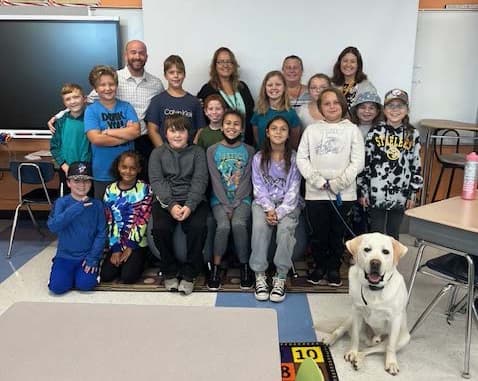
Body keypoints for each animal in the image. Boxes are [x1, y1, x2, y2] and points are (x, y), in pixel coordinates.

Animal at [324, 232, 410, 374]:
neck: (374, 290)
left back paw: (358, 360)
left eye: (385, 252)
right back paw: (330, 340)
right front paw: (352, 352)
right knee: (341, 330)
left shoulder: (395, 320)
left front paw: (391, 363)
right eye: (367, 249)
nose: (375, 262)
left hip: (403, 338)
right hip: (350, 318)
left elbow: (390, 346)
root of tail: (371, 339)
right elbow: (355, 337)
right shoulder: (357, 313)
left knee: (370, 350)